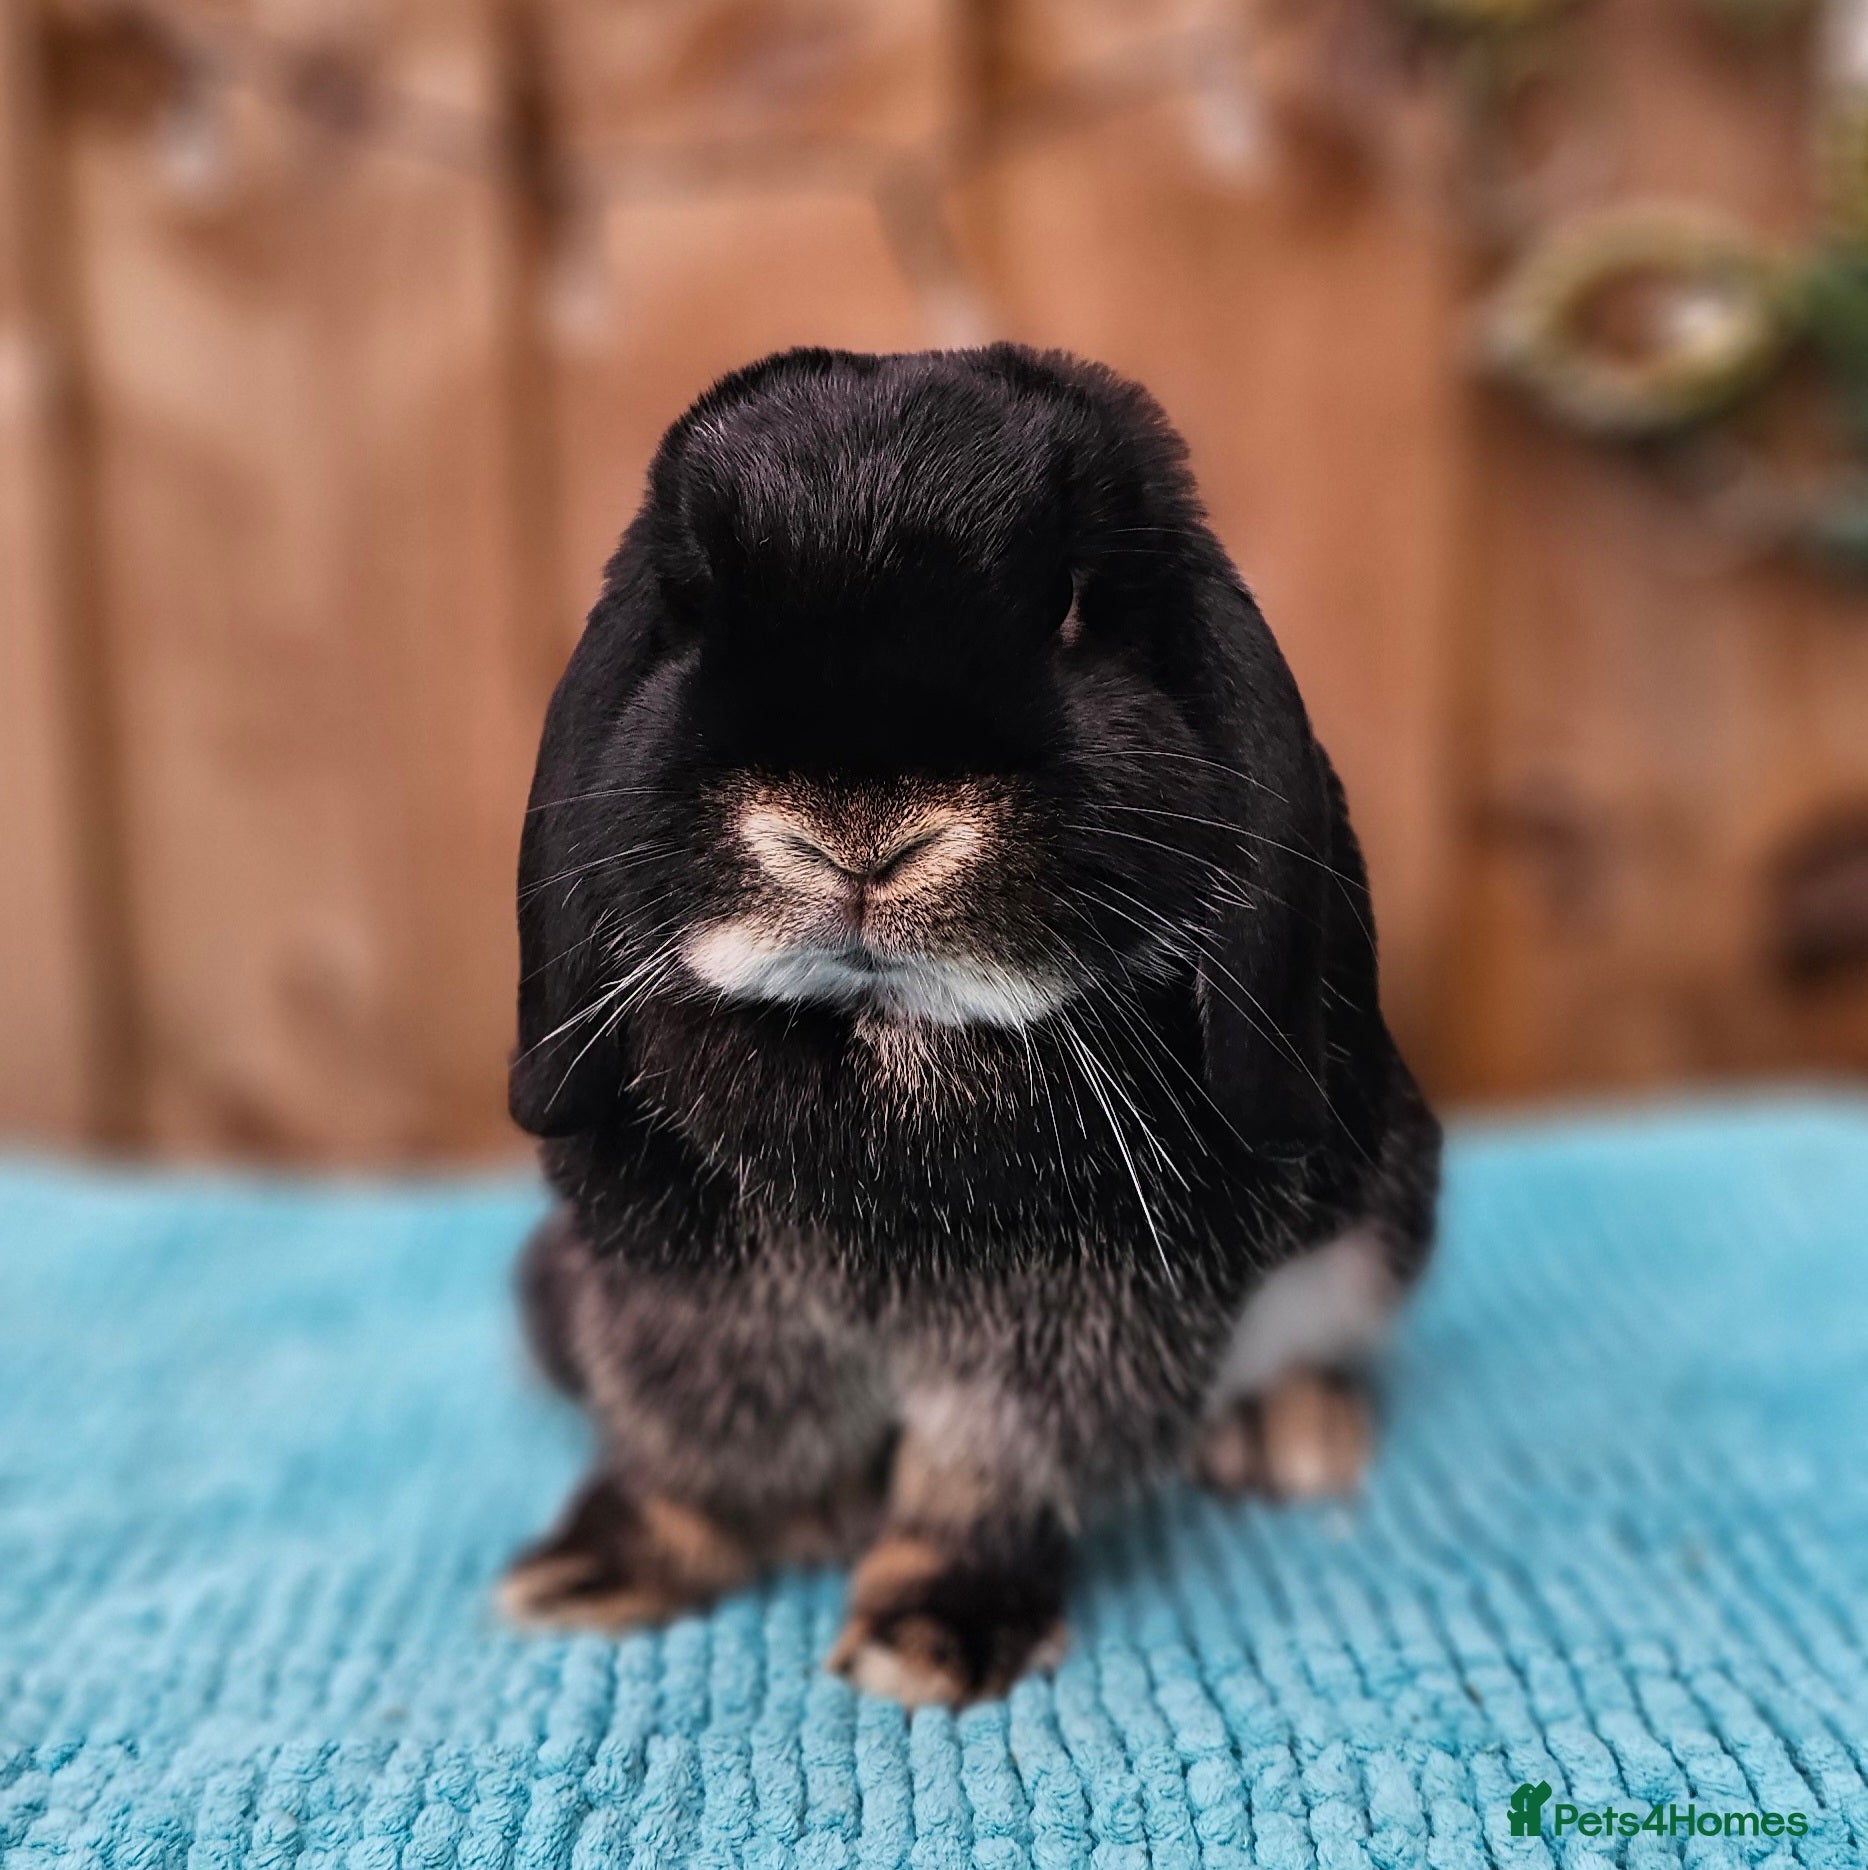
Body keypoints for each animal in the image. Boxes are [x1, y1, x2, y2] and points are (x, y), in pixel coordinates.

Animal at [500, 345, 1441, 1706]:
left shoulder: (1083, 1323)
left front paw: (933, 1633)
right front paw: (595, 1568)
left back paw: (1287, 1436)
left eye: (1071, 609)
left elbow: (990, 1470)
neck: (877, 1028)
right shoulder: (682, 1297)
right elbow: (702, 1449)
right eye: (691, 612)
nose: (857, 838)